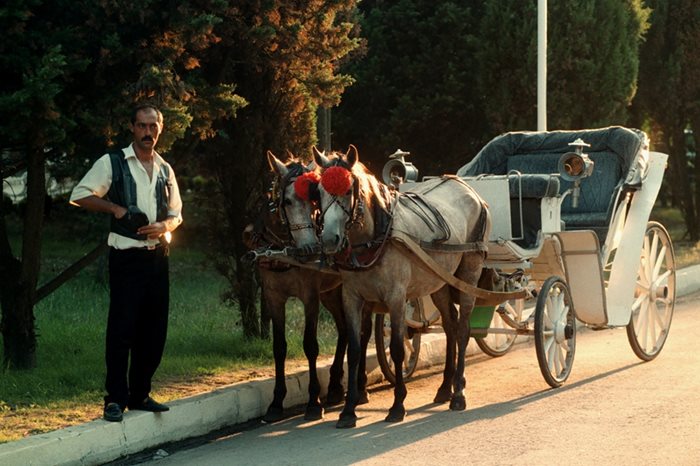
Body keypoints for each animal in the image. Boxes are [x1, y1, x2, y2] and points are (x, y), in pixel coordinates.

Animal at [246, 152, 372, 422]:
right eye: (288, 201)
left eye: (314, 200)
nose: (310, 247)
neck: (286, 251)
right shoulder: (273, 296)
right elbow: (279, 347)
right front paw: (276, 402)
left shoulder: (310, 296)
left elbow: (310, 345)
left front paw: (313, 401)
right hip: (332, 293)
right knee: (344, 330)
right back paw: (335, 387)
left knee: (363, 333)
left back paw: (360, 387)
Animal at [312, 147, 492, 428]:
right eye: (318, 190)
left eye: (349, 189)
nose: (330, 240)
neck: (377, 237)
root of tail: (466, 187)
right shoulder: (351, 297)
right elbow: (354, 350)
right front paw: (348, 410)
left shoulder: (396, 298)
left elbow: (397, 349)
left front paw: (397, 405)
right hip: (439, 281)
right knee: (450, 327)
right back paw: (446, 387)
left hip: (469, 272)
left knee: (463, 330)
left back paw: (458, 394)